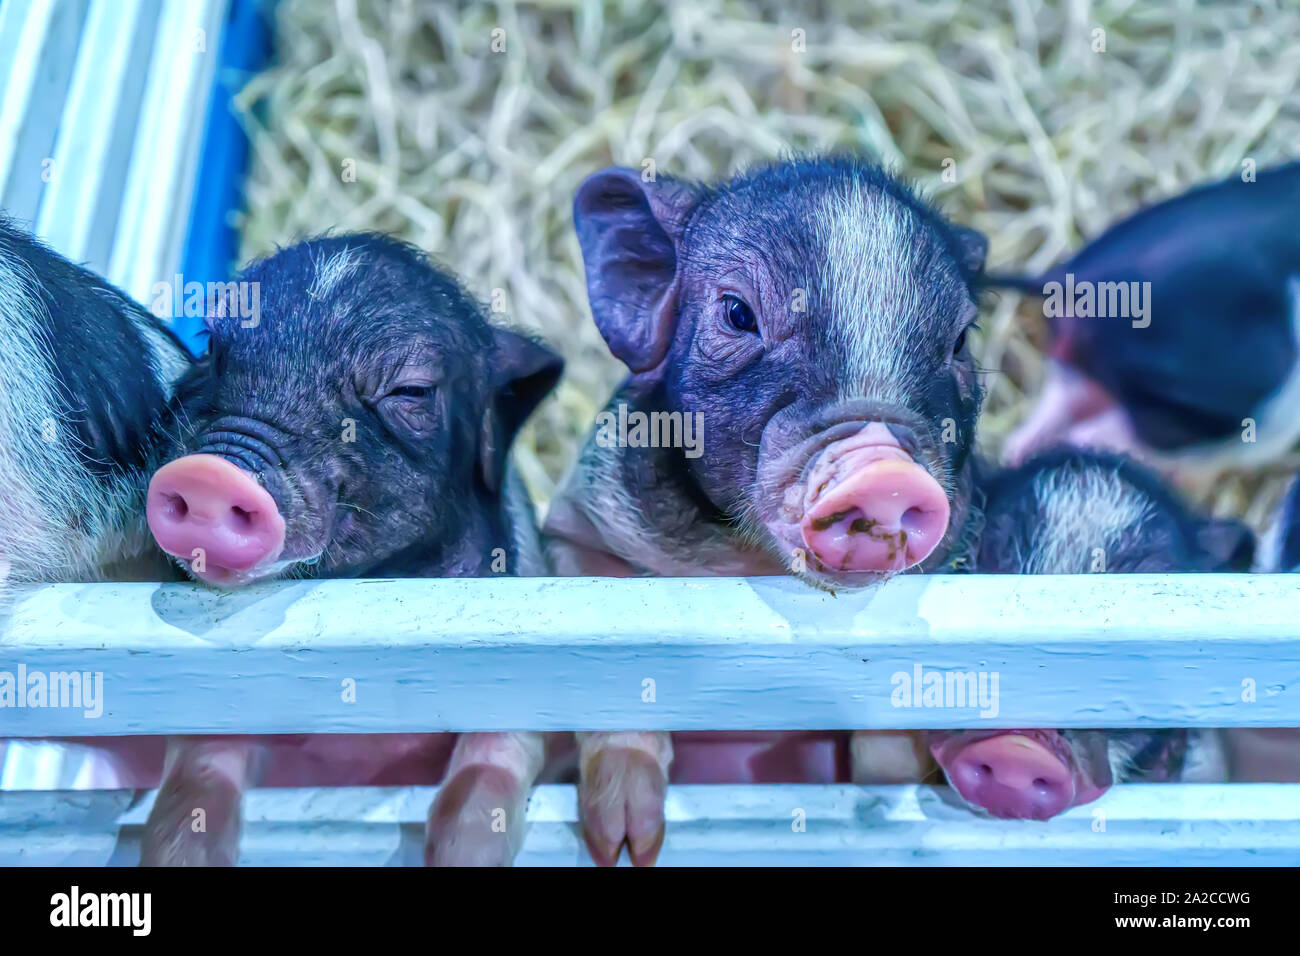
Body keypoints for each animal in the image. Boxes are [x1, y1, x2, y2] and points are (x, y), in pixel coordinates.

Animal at [137, 233, 565, 866]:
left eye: (411, 390)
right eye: (212, 347)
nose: (211, 473)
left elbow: (501, 748)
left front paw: (458, 851)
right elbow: (203, 760)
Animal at [543, 156, 991, 864]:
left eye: (961, 341)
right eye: (736, 313)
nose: (885, 471)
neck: (754, 567)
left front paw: (884, 806)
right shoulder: (580, 522)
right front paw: (627, 844)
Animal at [989, 161, 1300, 469]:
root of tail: (1080, 280)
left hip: (1074, 366)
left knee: (1048, 417)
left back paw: (1017, 455)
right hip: (1191, 399)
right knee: (1090, 436)